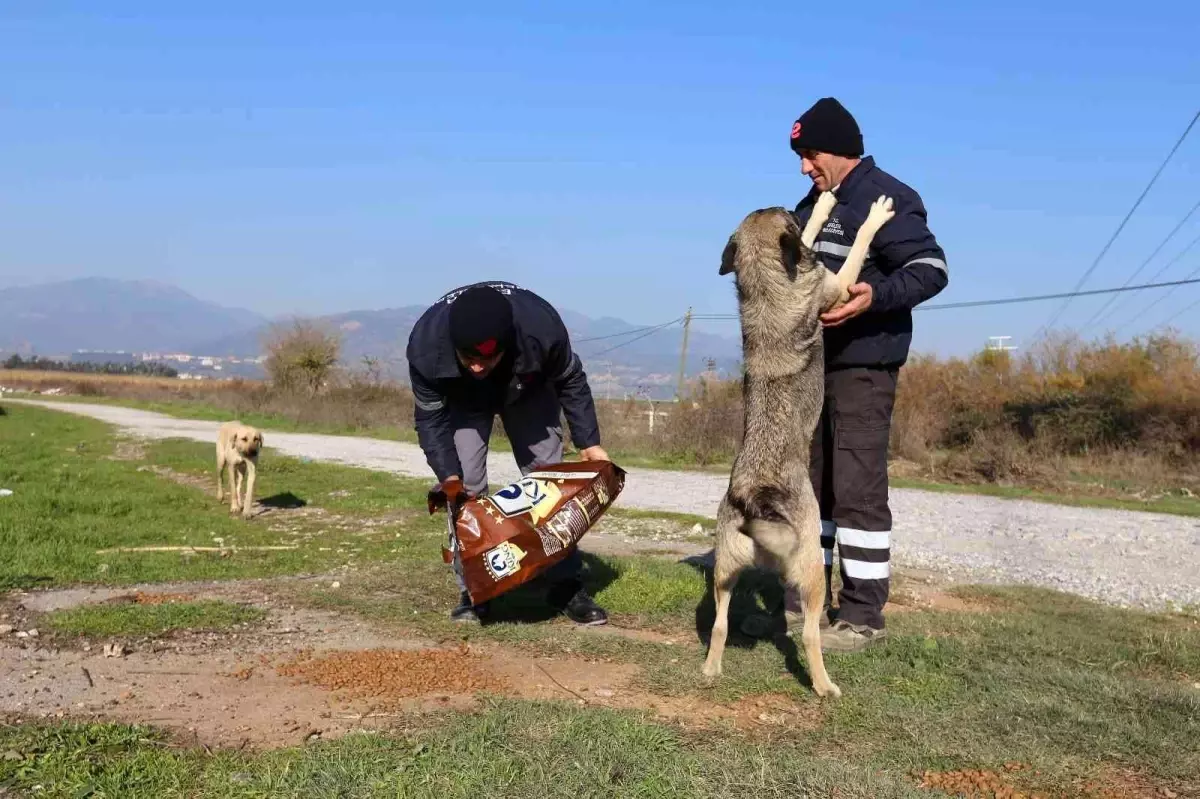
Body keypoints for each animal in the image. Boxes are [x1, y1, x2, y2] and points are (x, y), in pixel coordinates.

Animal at [700, 189, 897, 695]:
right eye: (782, 212)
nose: (793, 199)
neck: (765, 284)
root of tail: (755, 502)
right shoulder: (837, 287)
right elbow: (855, 244)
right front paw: (868, 214)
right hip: (811, 569)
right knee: (809, 634)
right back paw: (825, 685)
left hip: (725, 576)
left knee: (719, 625)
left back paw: (711, 669)